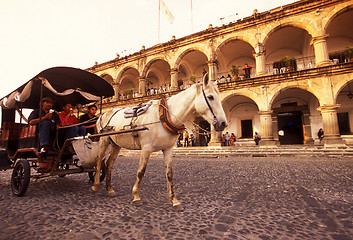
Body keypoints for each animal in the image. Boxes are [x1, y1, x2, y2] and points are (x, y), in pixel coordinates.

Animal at [92, 76, 227, 211]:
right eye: (210, 97)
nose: (223, 123)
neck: (163, 116)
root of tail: (103, 114)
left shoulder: (168, 149)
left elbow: (169, 174)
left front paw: (174, 200)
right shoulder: (146, 148)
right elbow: (141, 171)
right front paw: (136, 196)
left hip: (116, 144)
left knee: (109, 164)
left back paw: (109, 189)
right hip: (103, 140)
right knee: (99, 161)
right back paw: (95, 185)